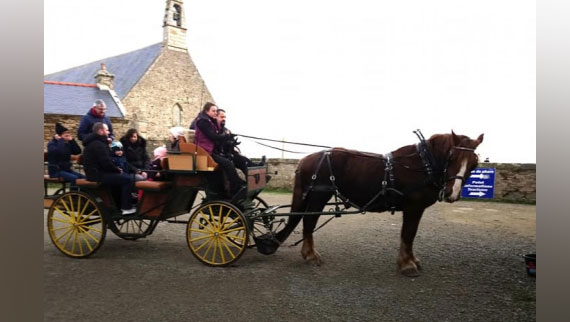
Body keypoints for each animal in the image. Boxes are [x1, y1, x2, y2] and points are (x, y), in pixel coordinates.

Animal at [260, 131, 480, 276]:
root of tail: (306, 159)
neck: (421, 164)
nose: (453, 193)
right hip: (318, 197)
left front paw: (411, 260)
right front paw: (407, 264)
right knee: (308, 223)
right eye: (452, 157)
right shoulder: (413, 207)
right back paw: (310, 255)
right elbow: (408, 234)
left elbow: (408, 235)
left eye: (474, 163)